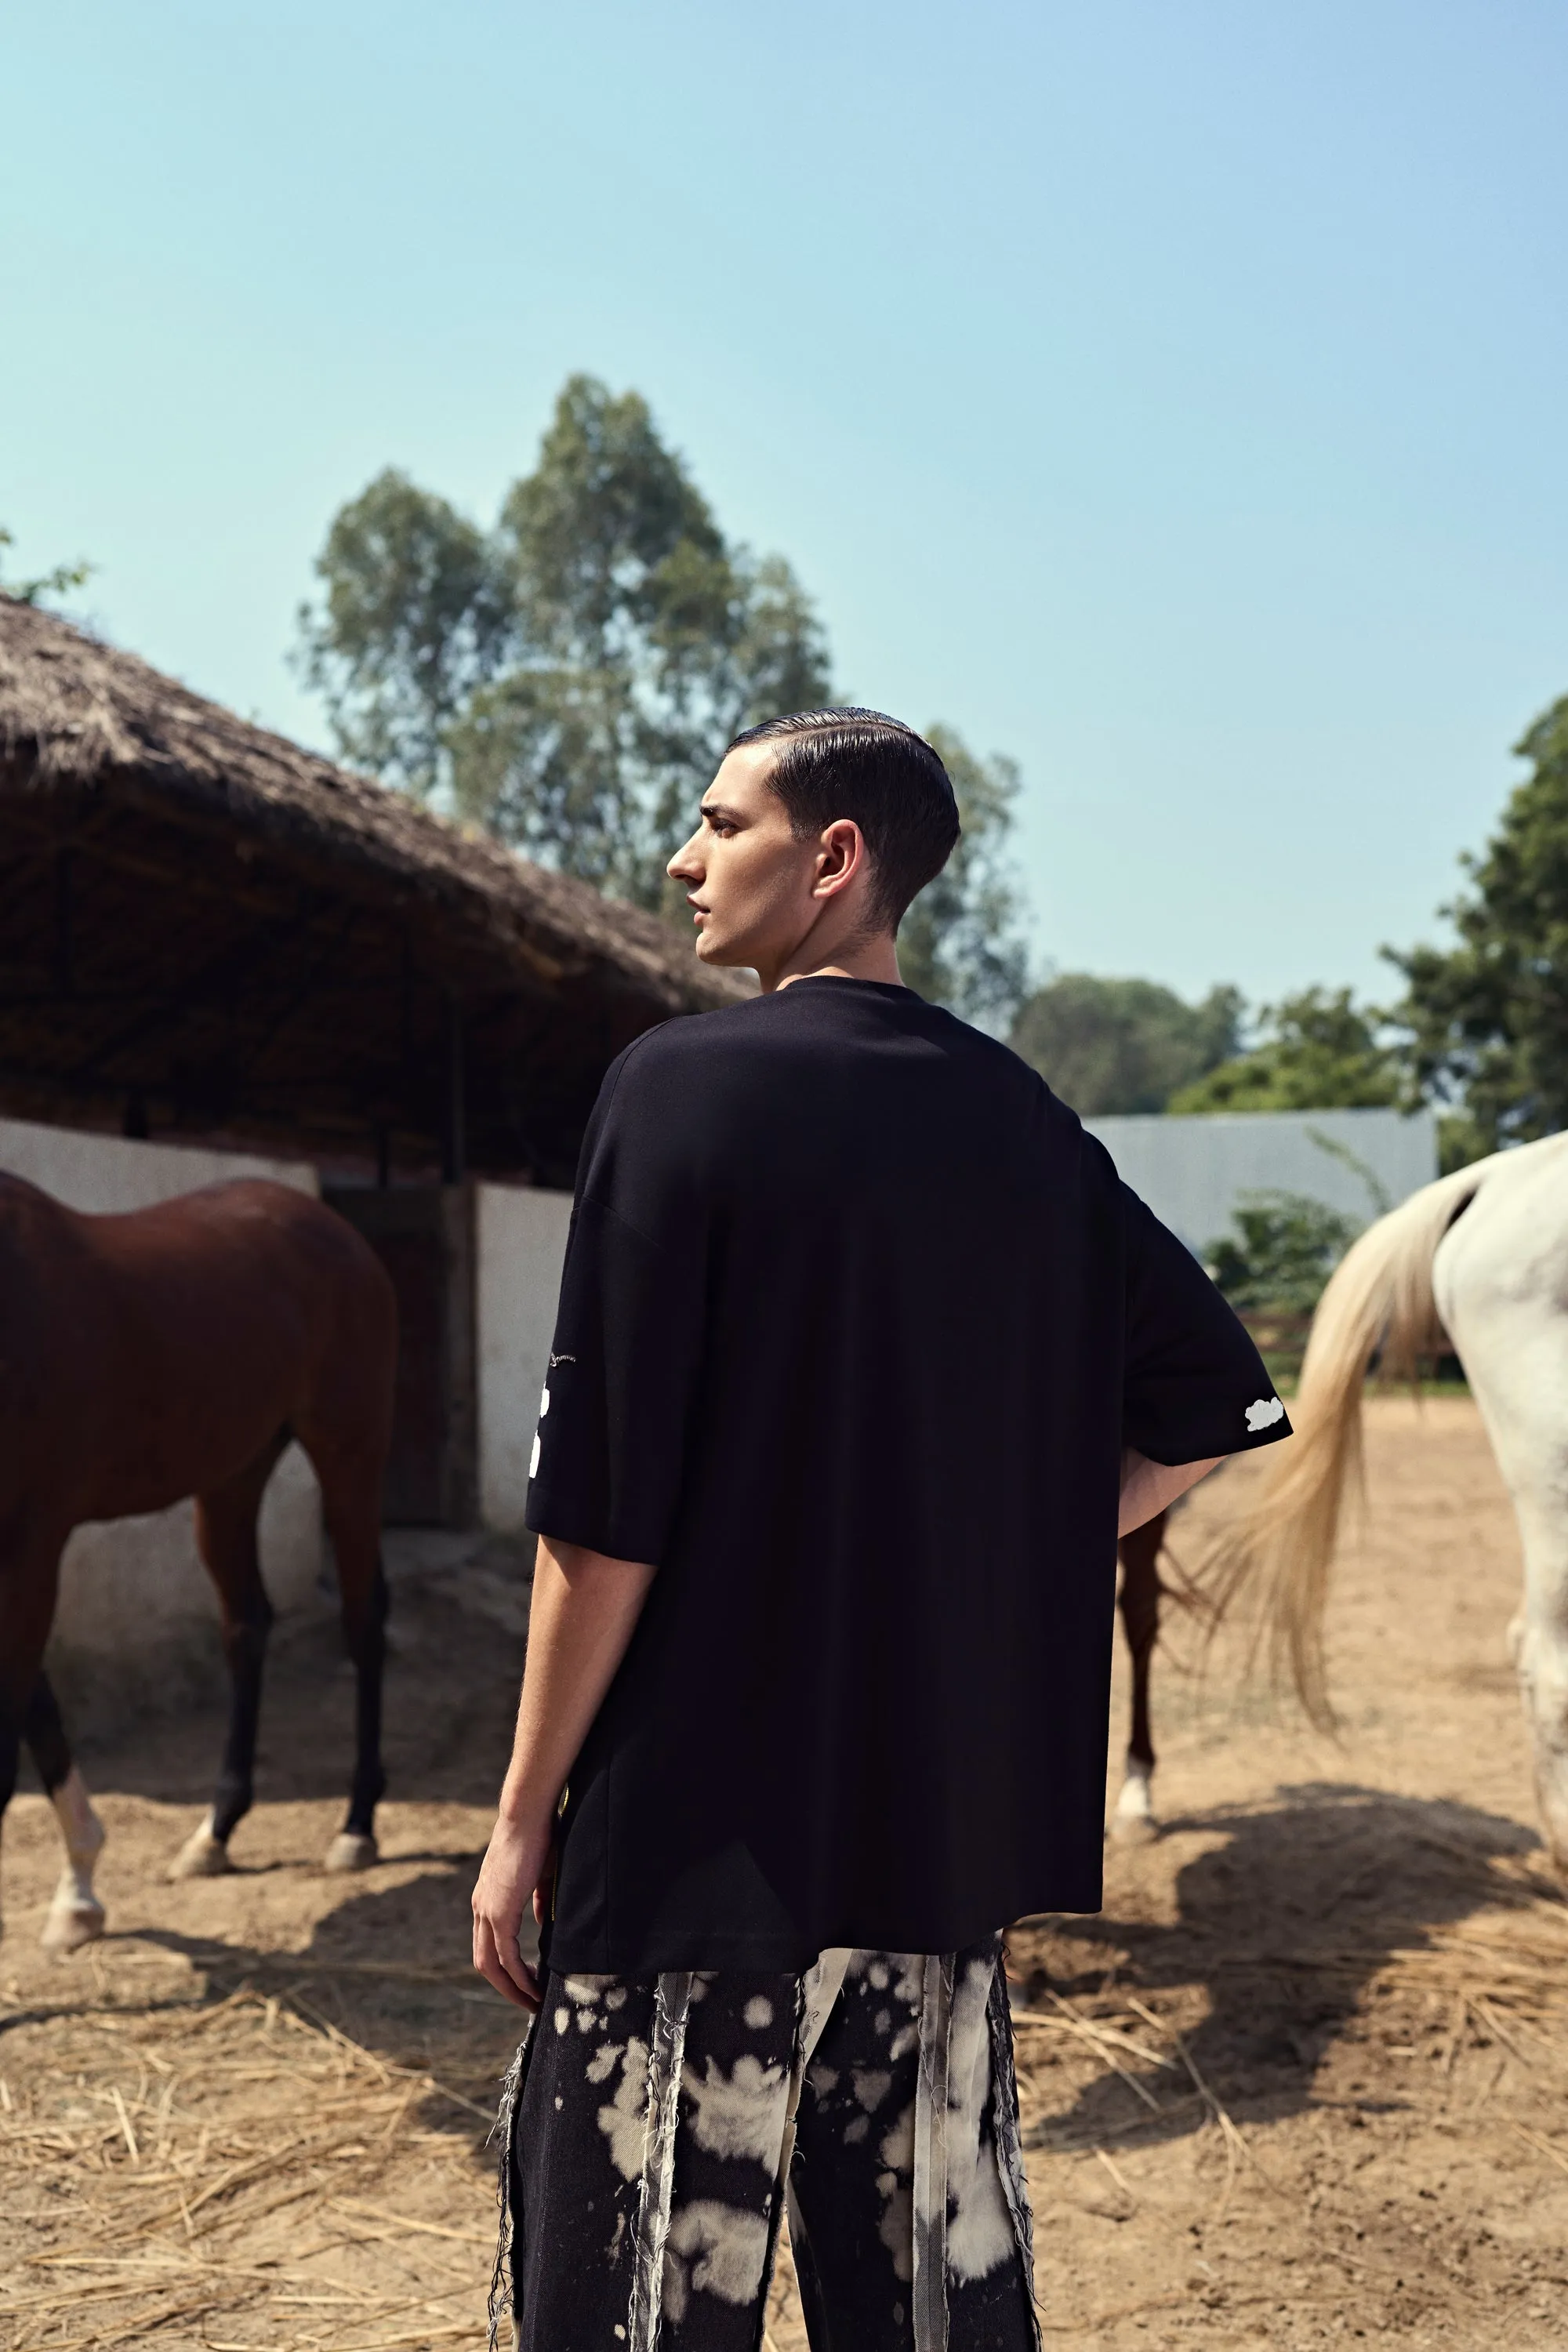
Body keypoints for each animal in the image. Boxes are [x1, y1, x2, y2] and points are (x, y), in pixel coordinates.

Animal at [0, 1176, 399, 1947]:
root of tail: (329, 1225)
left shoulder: (30, 1542)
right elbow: (38, 1706)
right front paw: (79, 1894)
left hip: (351, 1453)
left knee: (363, 1620)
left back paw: (356, 1826)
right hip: (233, 1476)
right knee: (247, 1626)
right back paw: (215, 1832)